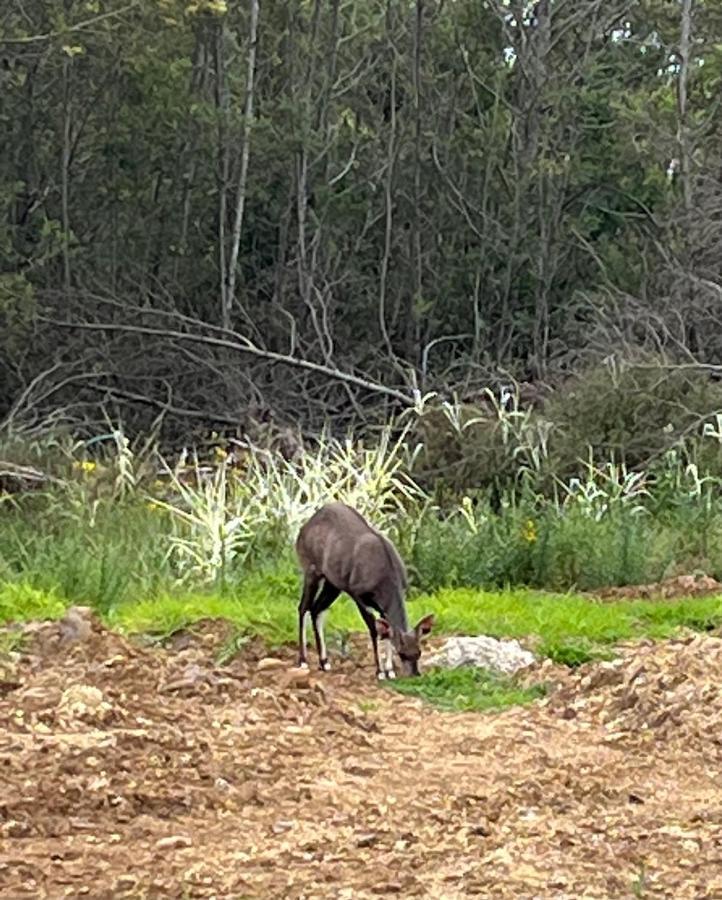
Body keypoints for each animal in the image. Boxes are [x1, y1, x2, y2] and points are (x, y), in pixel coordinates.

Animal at [294, 502, 434, 680]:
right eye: (402, 653)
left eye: (419, 652)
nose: (415, 674)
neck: (385, 577)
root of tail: (303, 529)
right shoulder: (357, 594)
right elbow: (374, 629)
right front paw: (380, 672)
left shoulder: (382, 606)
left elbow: (386, 631)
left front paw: (390, 671)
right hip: (311, 570)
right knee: (303, 607)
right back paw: (303, 660)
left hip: (333, 584)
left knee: (316, 609)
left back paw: (324, 662)